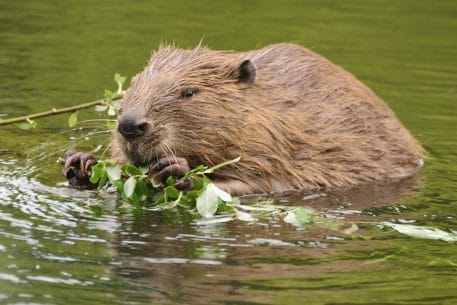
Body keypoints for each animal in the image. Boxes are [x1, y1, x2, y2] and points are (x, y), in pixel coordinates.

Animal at [62, 42, 422, 195]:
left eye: (189, 93)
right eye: (135, 82)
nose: (129, 125)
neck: (270, 112)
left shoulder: (281, 147)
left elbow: (260, 183)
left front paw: (176, 169)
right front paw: (82, 162)